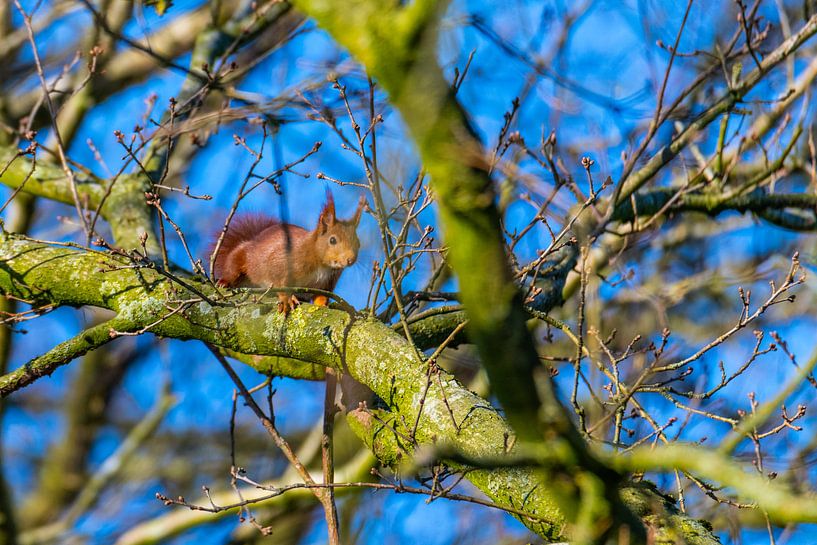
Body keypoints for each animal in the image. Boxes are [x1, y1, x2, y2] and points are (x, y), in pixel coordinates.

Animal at [212, 191, 364, 312]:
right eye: (332, 240)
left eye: (358, 243)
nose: (350, 260)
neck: (322, 265)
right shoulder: (281, 261)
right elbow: (278, 281)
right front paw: (287, 299)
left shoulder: (328, 283)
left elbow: (322, 296)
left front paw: (323, 304)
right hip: (242, 256)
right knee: (233, 266)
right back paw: (224, 281)